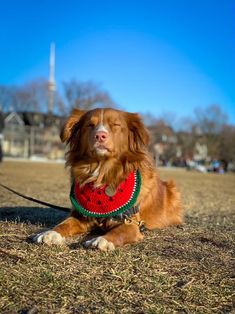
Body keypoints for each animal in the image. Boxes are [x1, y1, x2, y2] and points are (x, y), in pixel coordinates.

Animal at [34, 108, 183, 250]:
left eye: (115, 125)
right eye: (90, 125)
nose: (100, 136)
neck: (103, 171)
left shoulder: (130, 224)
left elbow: (118, 233)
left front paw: (102, 240)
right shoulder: (80, 217)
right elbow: (63, 224)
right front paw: (50, 233)